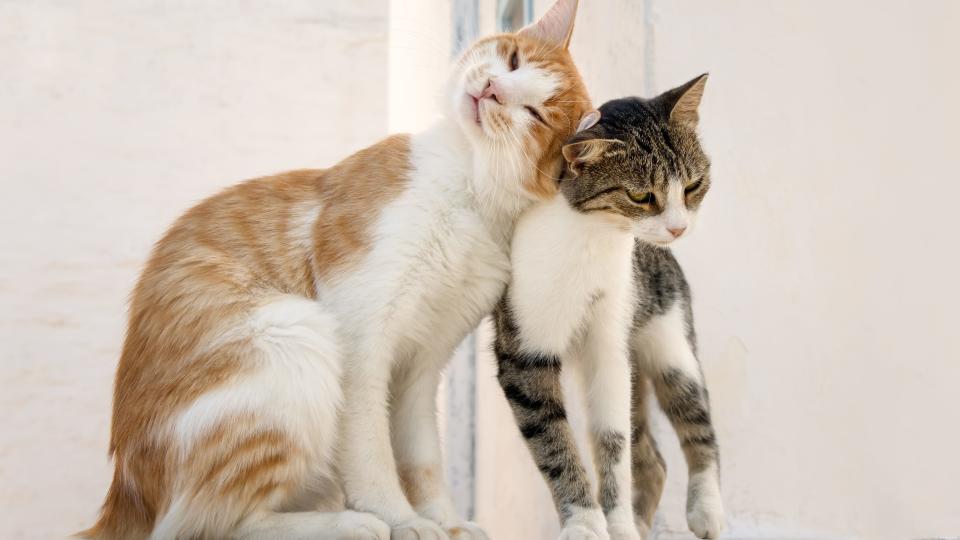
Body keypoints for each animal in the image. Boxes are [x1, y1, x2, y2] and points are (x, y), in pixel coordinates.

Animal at [82, 1, 592, 540]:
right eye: (512, 60)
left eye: (535, 114)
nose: (492, 89)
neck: (469, 189)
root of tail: (124, 501)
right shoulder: (359, 336)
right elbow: (369, 448)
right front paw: (398, 518)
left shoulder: (422, 366)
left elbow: (421, 455)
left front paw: (445, 521)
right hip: (296, 333)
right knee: (209, 524)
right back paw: (350, 522)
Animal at [492, 76, 724, 540]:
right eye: (641, 195)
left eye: (692, 186)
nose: (678, 228)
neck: (591, 237)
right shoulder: (524, 347)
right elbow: (553, 439)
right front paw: (584, 521)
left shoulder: (609, 341)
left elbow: (613, 440)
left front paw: (616, 523)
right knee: (653, 459)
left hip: (670, 344)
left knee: (694, 421)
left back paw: (705, 509)